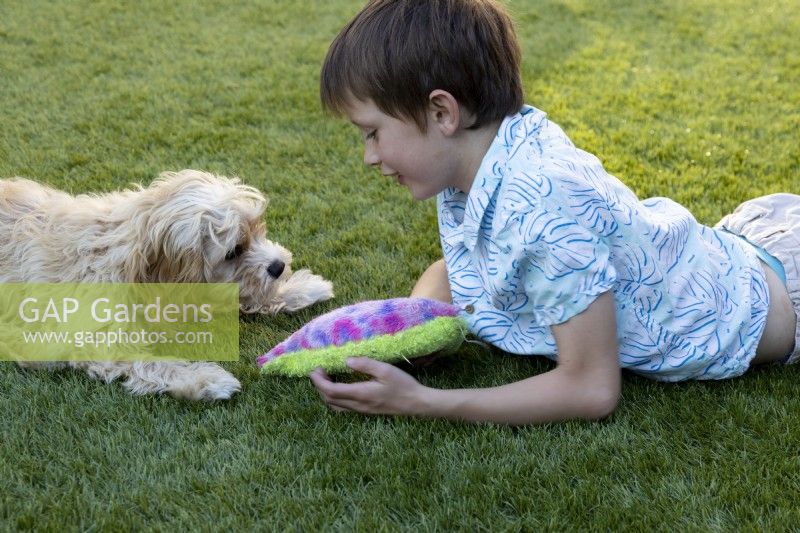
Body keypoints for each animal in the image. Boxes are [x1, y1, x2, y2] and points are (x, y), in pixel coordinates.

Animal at [0, 170, 334, 400]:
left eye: (257, 229)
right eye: (233, 251)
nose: (278, 266)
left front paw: (300, 289)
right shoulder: (95, 336)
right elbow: (148, 363)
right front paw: (204, 380)